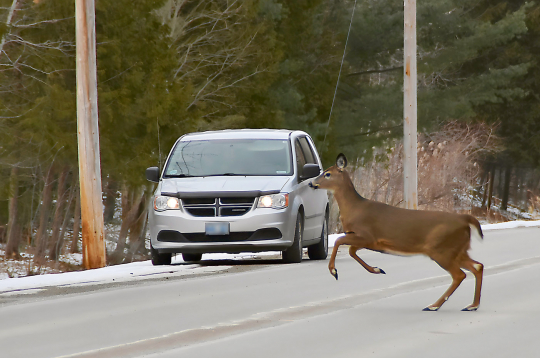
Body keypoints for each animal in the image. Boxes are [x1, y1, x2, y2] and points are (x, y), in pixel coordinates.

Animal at [308, 152, 486, 312]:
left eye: (327, 174)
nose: (311, 183)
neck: (354, 209)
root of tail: (464, 219)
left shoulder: (367, 235)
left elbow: (339, 241)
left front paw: (334, 271)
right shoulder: (366, 240)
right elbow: (351, 251)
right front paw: (377, 269)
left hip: (442, 249)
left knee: (459, 275)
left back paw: (434, 305)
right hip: (457, 249)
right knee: (478, 266)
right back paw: (472, 305)